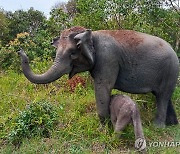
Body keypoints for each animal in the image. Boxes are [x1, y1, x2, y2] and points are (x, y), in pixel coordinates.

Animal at [17, 26, 179, 127]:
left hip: (170, 70)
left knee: (162, 97)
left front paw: (103, 128)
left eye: (72, 53)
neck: (91, 34)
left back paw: (157, 127)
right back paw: (172, 124)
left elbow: (103, 87)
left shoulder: (108, 58)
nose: (20, 51)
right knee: (164, 96)